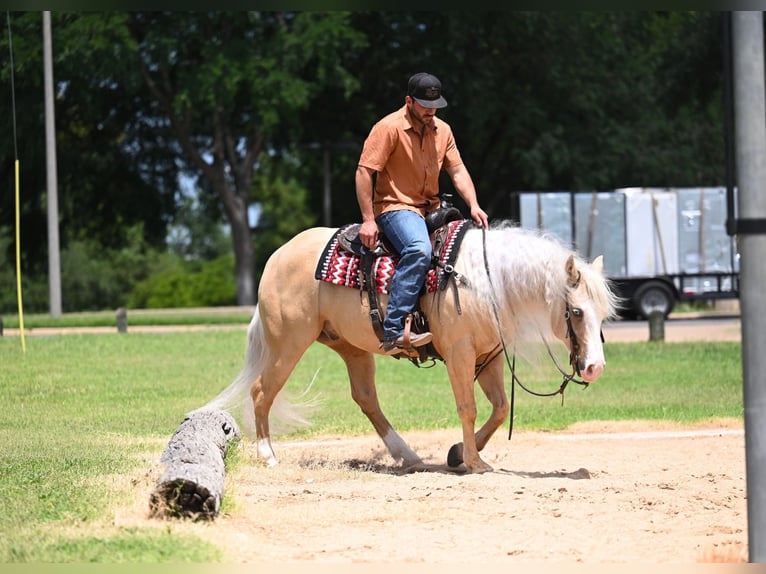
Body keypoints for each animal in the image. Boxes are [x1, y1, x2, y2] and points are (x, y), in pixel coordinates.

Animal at [195, 221, 619, 474]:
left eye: (604, 314)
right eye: (576, 311)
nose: (595, 368)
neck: (484, 280)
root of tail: (278, 256)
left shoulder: (490, 357)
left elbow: (500, 409)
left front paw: (457, 454)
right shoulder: (460, 354)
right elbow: (468, 408)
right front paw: (475, 462)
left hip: (351, 347)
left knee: (366, 398)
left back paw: (408, 455)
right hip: (288, 343)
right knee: (261, 391)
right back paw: (268, 455)